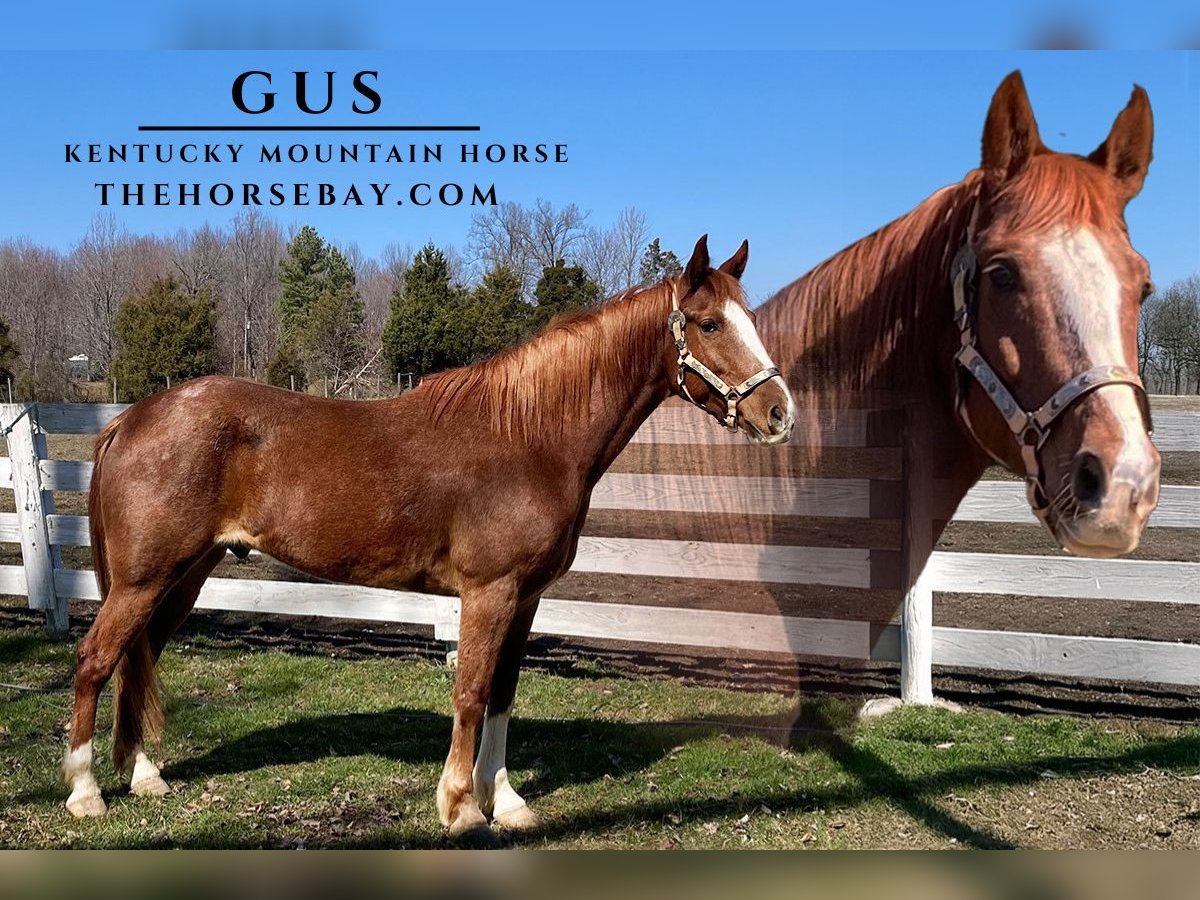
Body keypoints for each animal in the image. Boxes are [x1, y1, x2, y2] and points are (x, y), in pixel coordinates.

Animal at [63, 236, 796, 844]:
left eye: (749, 320)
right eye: (710, 324)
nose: (780, 413)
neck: (529, 437)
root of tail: (131, 419)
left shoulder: (525, 599)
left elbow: (503, 694)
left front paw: (508, 803)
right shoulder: (489, 592)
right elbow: (470, 693)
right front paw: (462, 807)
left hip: (185, 575)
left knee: (138, 655)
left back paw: (146, 777)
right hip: (143, 579)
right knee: (97, 658)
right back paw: (84, 792)